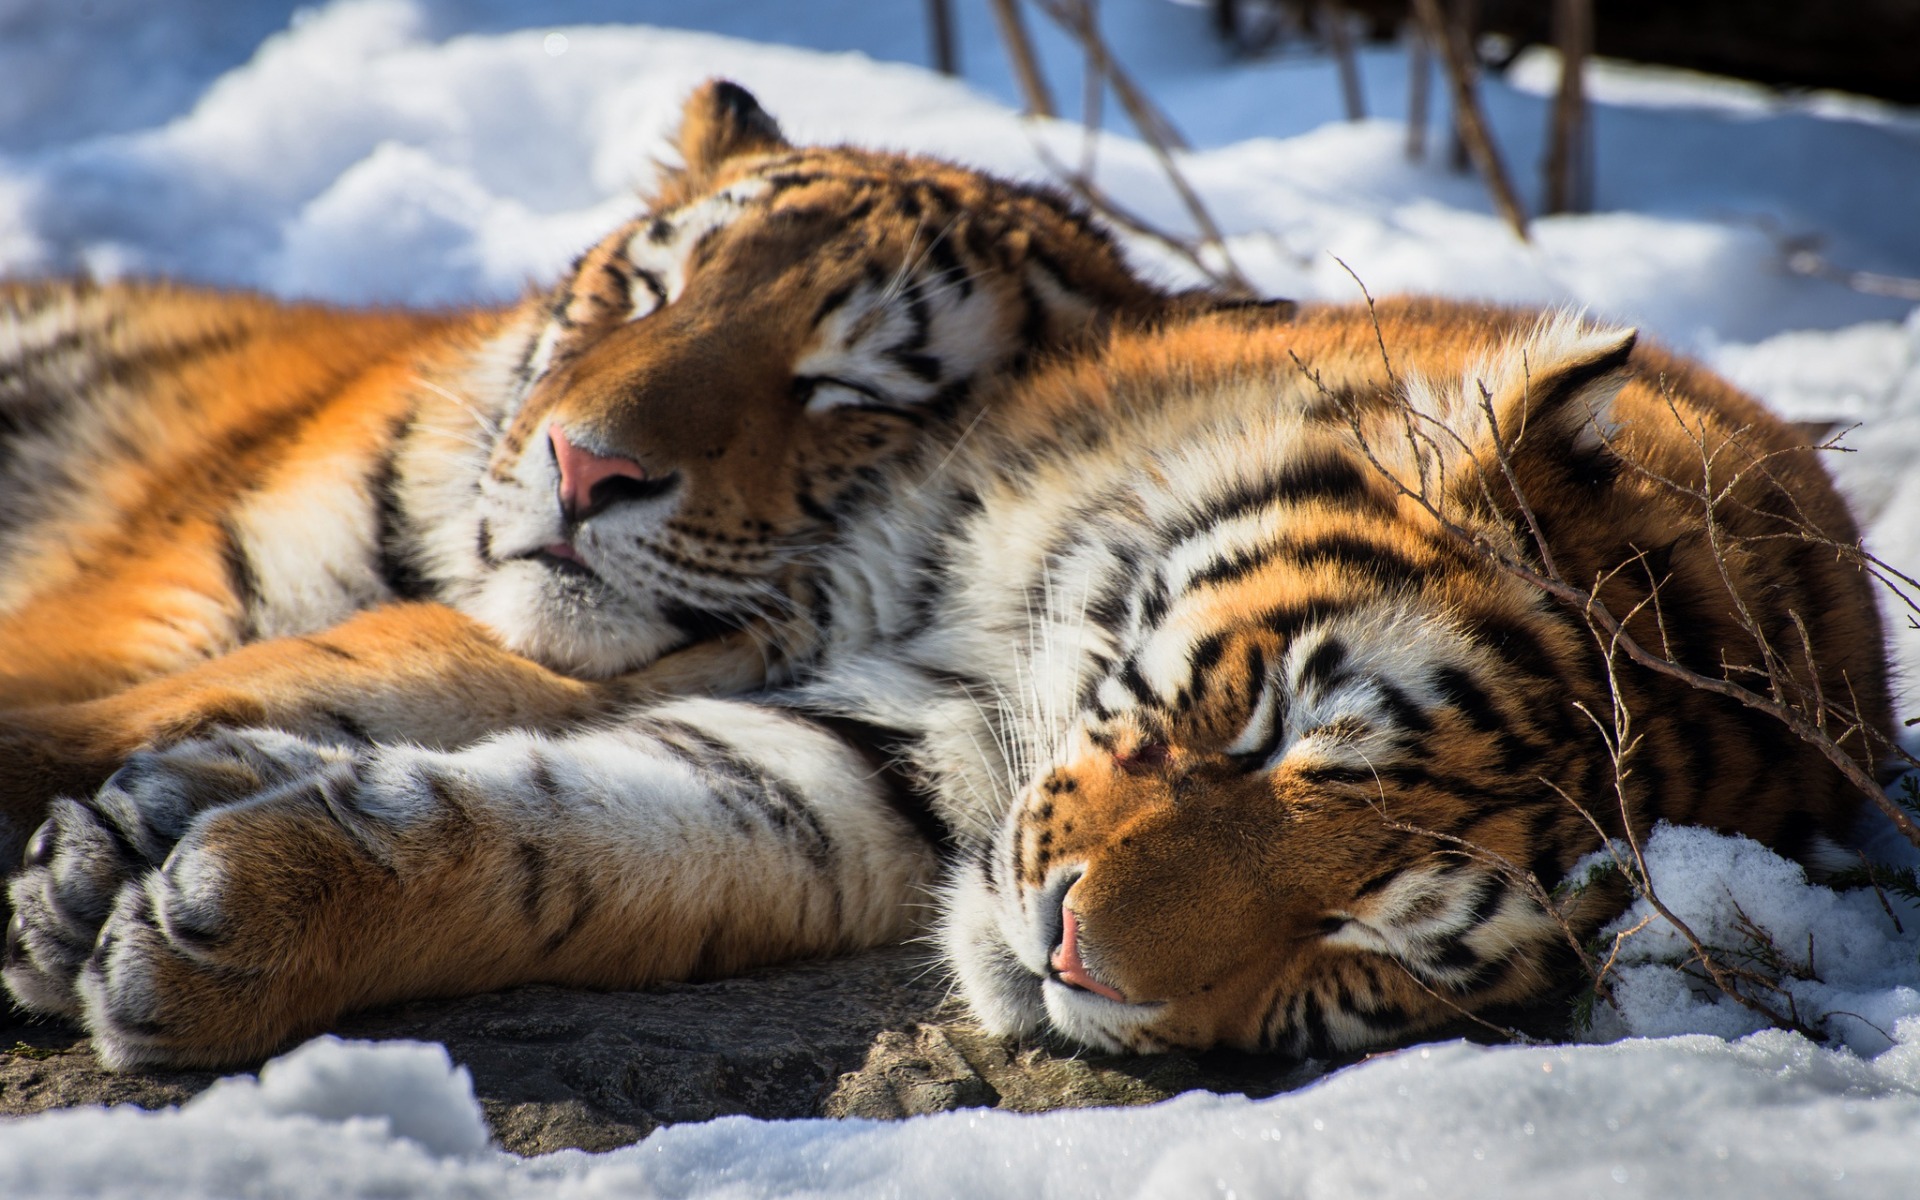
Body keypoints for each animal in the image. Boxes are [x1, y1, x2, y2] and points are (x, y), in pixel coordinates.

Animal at [5, 298, 1885, 1070]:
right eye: (1268, 725)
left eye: (1367, 955)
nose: (1069, 953)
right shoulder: (784, 617)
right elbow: (372, 677)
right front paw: (117, 835)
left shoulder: (858, 773)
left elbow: (566, 841)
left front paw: (210, 926)